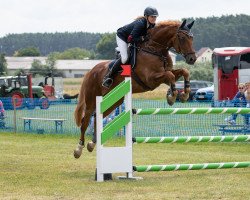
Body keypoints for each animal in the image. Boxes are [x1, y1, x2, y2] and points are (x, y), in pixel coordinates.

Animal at [73, 19, 196, 159]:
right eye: (182, 38)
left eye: (191, 37)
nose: (192, 59)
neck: (155, 50)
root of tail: (90, 72)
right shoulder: (151, 79)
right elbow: (170, 76)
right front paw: (172, 97)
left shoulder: (165, 74)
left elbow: (183, 72)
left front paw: (184, 95)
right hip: (92, 100)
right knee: (85, 120)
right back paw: (78, 149)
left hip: (114, 101)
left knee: (98, 118)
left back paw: (92, 144)